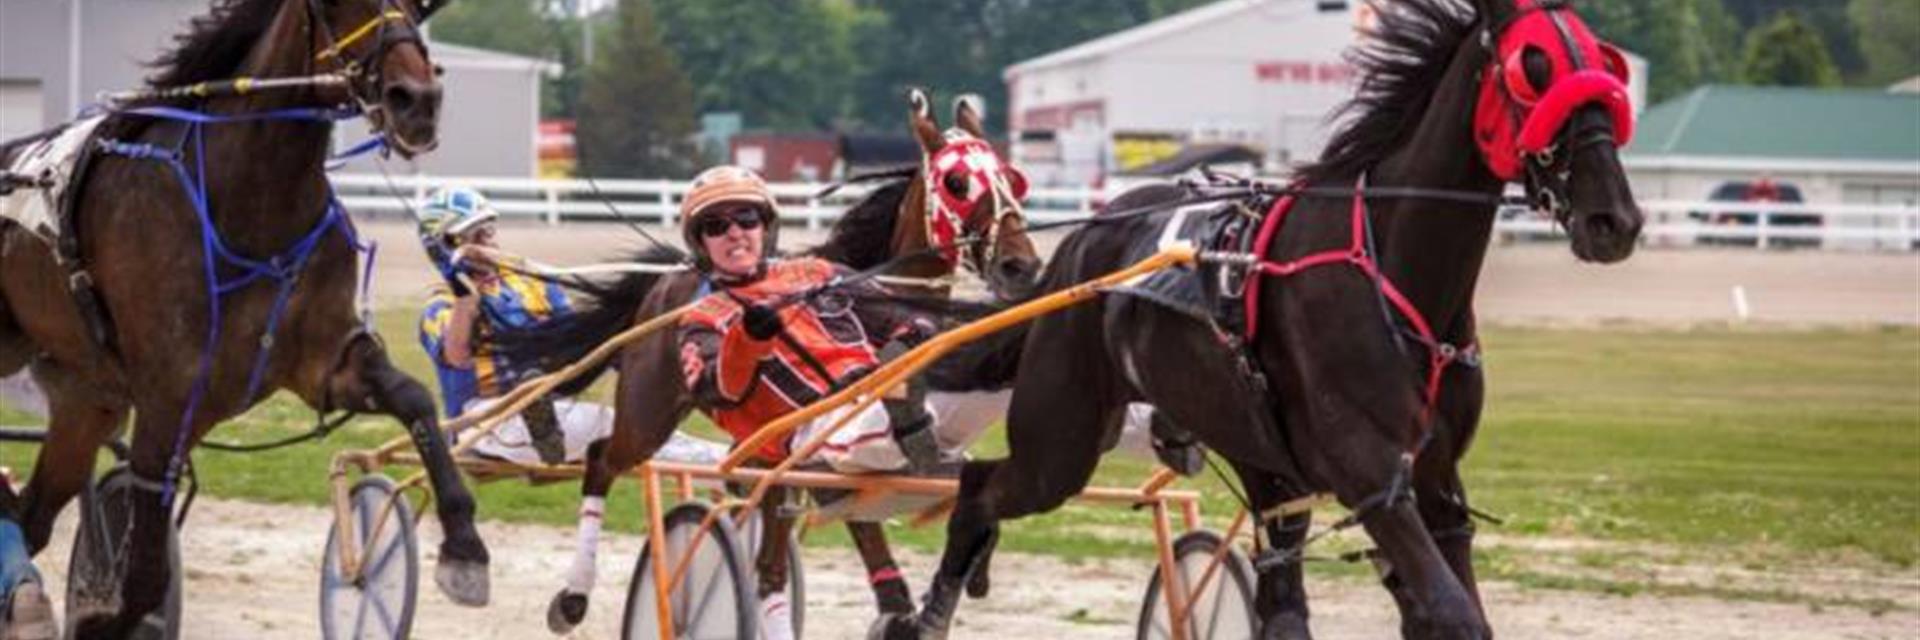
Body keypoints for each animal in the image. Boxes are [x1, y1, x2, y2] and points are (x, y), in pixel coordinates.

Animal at [1, 0, 495, 634]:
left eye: (413, 7)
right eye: (334, 6)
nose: (417, 98)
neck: (250, 204)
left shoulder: (323, 363)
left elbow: (413, 398)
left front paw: (464, 548)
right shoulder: (168, 402)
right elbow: (143, 579)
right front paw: (99, 620)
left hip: (86, 401)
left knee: (30, 514)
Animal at [514, 89, 1052, 634]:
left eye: (1012, 179)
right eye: (956, 182)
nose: (1020, 264)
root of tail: (669, 279)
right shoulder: (819, 462)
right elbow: (855, 534)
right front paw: (899, 606)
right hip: (650, 414)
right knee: (604, 458)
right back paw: (573, 595)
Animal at [906, 1, 1643, 638]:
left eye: (1605, 63)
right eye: (1533, 67)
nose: (1616, 219)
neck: (1391, 270)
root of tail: (1083, 244)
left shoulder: (1435, 482)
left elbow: (1445, 606)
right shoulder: (1375, 480)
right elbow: (1451, 612)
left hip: (1250, 446)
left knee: (1280, 590)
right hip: (1061, 438)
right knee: (979, 488)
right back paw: (928, 610)